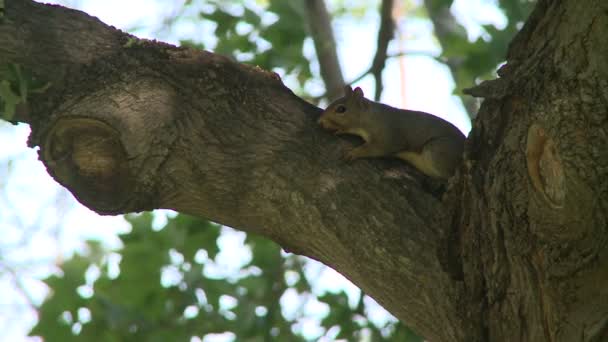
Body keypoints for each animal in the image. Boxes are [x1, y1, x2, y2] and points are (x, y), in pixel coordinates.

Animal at [318, 85, 466, 179]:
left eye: (341, 109)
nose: (321, 119)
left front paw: (354, 152)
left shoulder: (389, 135)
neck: (372, 117)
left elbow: (377, 148)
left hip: (438, 150)